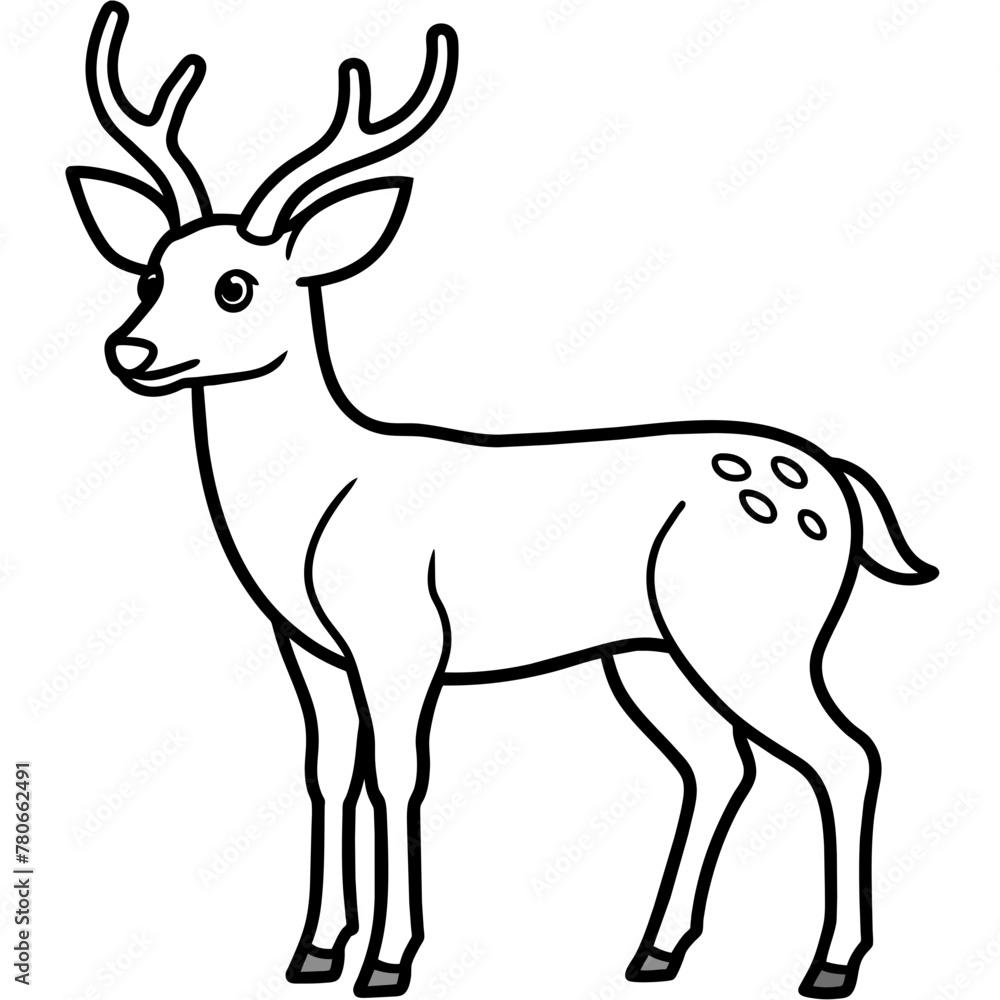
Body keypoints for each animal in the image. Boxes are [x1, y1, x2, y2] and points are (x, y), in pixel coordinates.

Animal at [66, 4, 939, 997]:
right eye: (150, 274)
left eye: (235, 286)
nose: (129, 350)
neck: (317, 506)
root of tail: (838, 479)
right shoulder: (310, 649)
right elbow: (327, 774)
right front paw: (313, 950)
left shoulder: (404, 638)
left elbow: (398, 776)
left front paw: (387, 961)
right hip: (649, 651)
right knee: (723, 765)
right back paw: (655, 950)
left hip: (758, 629)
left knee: (847, 753)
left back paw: (828, 964)